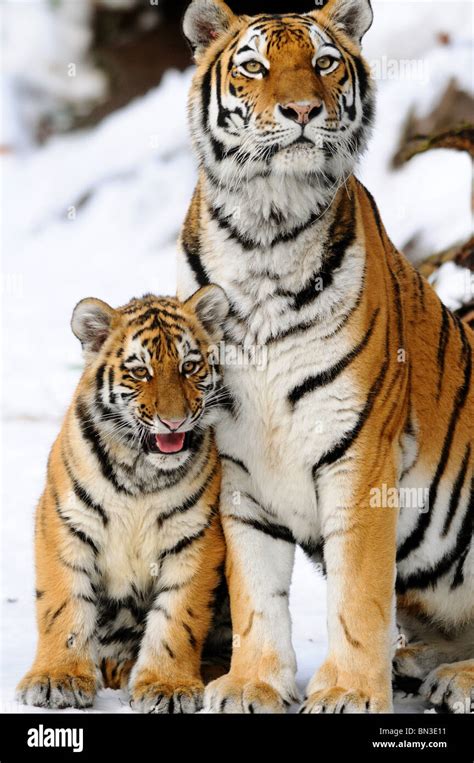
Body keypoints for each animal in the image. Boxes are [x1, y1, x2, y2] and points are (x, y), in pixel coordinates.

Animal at [179, 0, 474, 712]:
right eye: (254, 67)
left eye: (323, 62)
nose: (303, 111)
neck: (264, 235)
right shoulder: (238, 463)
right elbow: (256, 590)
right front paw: (253, 683)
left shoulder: (360, 451)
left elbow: (359, 591)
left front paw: (347, 691)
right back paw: (420, 663)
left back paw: (454, 678)